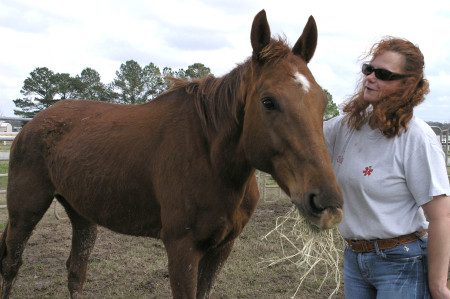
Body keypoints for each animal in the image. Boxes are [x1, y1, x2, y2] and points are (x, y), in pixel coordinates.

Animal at [0, 10, 342, 298]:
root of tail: (31, 125)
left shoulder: (221, 248)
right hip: (25, 211)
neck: (210, 157)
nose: (326, 202)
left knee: (76, 270)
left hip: (81, 214)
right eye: (268, 101)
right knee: (12, 266)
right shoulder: (182, 250)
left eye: (322, 101)